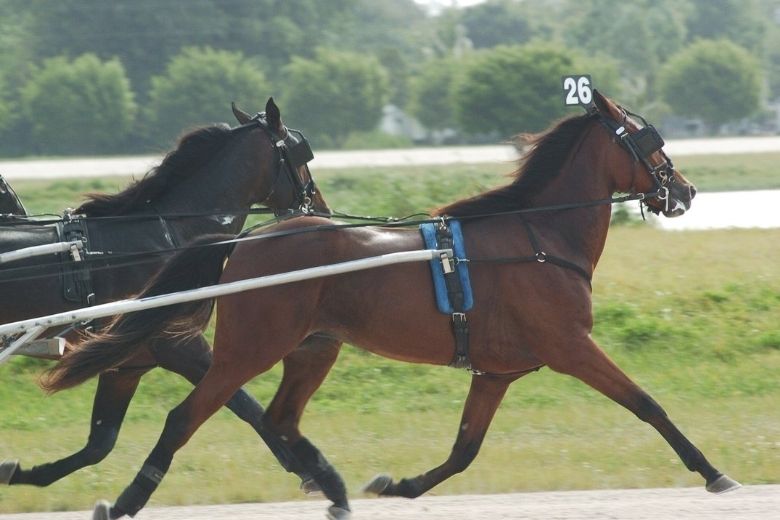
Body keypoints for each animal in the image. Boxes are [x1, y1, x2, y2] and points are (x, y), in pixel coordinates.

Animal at [45, 91, 740, 516]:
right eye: (647, 139)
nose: (684, 190)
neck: (537, 236)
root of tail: (240, 242)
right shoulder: (570, 345)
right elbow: (647, 404)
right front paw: (713, 471)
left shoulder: (497, 370)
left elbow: (464, 449)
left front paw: (399, 484)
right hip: (250, 348)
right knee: (187, 417)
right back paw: (128, 499)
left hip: (313, 348)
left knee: (280, 419)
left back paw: (331, 487)